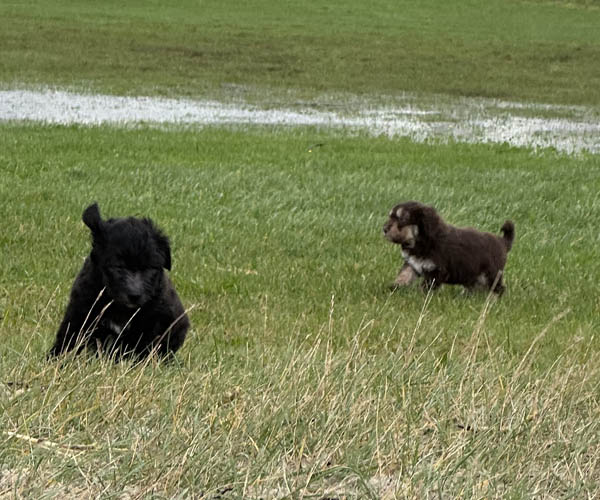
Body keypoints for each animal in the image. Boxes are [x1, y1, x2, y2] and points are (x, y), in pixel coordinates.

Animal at [48, 203, 190, 360]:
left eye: (149, 268)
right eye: (118, 267)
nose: (134, 295)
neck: (119, 307)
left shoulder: (156, 320)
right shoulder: (80, 310)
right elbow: (68, 340)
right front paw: (55, 360)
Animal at [383, 201, 514, 294]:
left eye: (402, 219)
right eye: (390, 216)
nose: (384, 229)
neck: (419, 242)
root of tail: (502, 241)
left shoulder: (437, 271)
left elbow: (426, 287)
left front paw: (419, 297)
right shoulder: (412, 264)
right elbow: (403, 276)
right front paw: (393, 288)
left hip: (492, 273)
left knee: (498, 288)